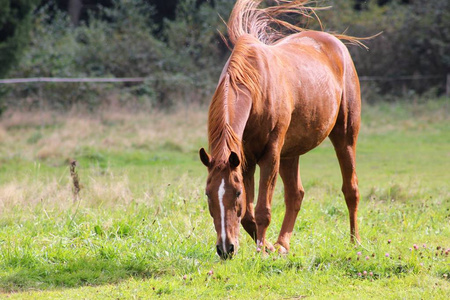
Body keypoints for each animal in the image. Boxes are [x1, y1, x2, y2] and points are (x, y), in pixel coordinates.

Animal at [200, 0, 362, 258]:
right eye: (208, 193)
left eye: (236, 193)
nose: (226, 248)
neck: (255, 88)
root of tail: (335, 43)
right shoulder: (245, 160)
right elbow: (248, 215)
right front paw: (266, 246)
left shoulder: (270, 154)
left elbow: (262, 210)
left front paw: (262, 251)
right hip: (290, 153)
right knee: (295, 194)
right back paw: (282, 244)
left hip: (345, 136)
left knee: (351, 189)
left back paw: (354, 242)